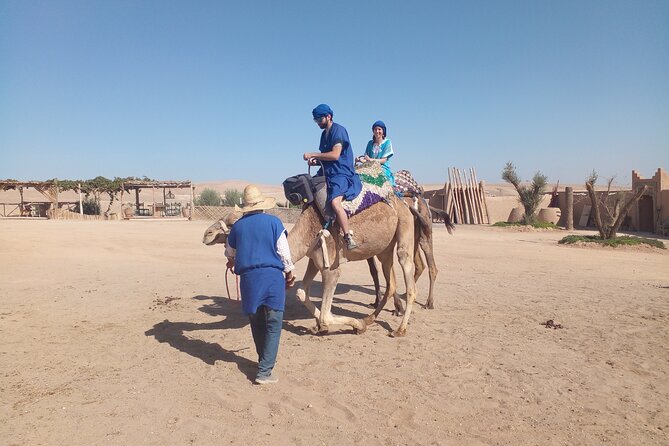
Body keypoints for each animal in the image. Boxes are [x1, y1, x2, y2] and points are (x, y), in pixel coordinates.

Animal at [202, 197, 418, 336]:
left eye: (233, 223)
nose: (207, 234)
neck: (307, 231)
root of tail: (404, 203)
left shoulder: (331, 269)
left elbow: (325, 315)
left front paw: (353, 326)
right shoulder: (314, 260)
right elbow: (301, 293)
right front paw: (321, 327)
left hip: (404, 230)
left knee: (408, 277)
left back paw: (399, 330)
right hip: (384, 249)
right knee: (391, 283)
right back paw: (369, 319)